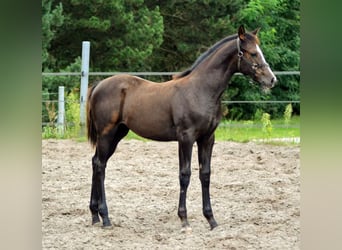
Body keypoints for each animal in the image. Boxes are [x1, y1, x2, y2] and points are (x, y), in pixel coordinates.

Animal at [87, 24, 276, 230]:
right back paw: (105, 217)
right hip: (107, 134)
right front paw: (184, 219)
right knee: (100, 165)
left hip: (117, 134)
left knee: (96, 162)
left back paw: (95, 215)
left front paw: (211, 219)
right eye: (252, 53)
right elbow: (185, 175)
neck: (200, 90)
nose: (271, 80)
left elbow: (205, 174)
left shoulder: (207, 138)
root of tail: (99, 85)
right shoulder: (186, 138)